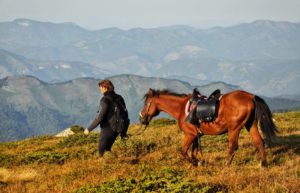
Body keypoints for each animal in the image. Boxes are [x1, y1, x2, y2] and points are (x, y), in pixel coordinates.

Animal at [139, 88, 278, 167]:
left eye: (146, 104)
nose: (141, 118)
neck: (181, 109)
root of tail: (250, 96)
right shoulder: (196, 135)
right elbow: (193, 151)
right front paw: (198, 162)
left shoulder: (190, 135)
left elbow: (183, 151)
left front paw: (195, 163)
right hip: (250, 124)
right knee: (259, 142)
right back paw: (263, 164)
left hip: (234, 128)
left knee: (232, 146)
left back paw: (226, 165)